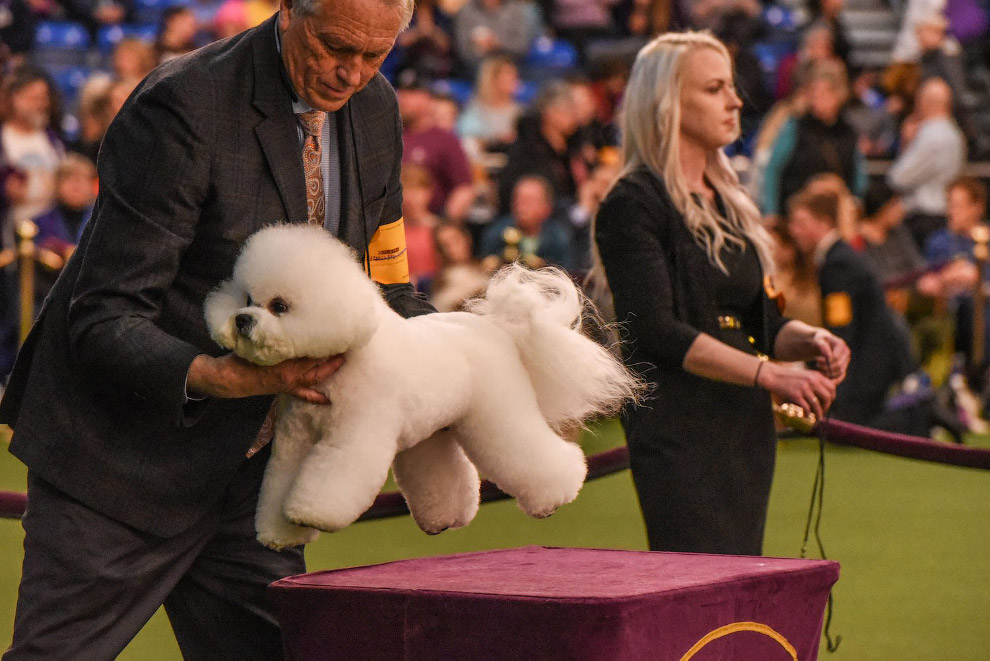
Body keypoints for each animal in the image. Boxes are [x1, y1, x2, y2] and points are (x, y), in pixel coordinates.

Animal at [208, 224, 644, 548]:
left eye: (279, 306)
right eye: (246, 298)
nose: (242, 320)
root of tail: (496, 328)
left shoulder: (353, 436)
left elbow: (333, 480)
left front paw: (309, 513)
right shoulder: (294, 441)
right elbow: (278, 486)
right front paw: (280, 532)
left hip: (498, 415)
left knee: (534, 455)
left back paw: (557, 495)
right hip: (432, 432)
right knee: (446, 476)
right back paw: (444, 518)